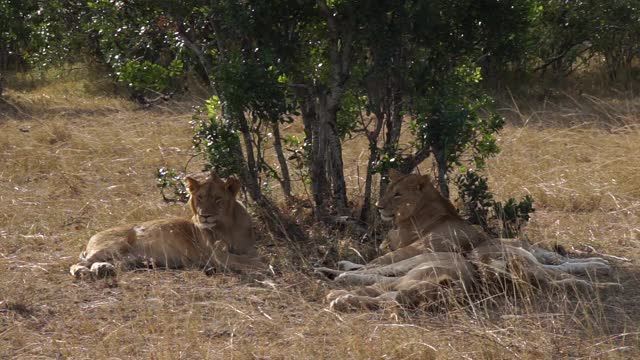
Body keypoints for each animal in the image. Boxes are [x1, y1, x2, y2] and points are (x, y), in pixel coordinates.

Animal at [70, 171, 268, 278]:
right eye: (200, 198)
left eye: (218, 199)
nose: (204, 216)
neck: (227, 226)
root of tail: (91, 239)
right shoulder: (217, 256)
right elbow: (247, 261)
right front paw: (264, 268)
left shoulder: (248, 248)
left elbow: (255, 257)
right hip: (116, 244)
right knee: (77, 263)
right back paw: (84, 272)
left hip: (127, 259)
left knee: (104, 263)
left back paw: (103, 269)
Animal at [318, 170, 616, 310]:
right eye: (388, 189)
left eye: (398, 194)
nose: (379, 207)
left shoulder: (414, 249)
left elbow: (376, 264)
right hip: (522, 251)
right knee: (558, 262)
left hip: (426, 257)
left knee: (376, 272)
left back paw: (336, 273)